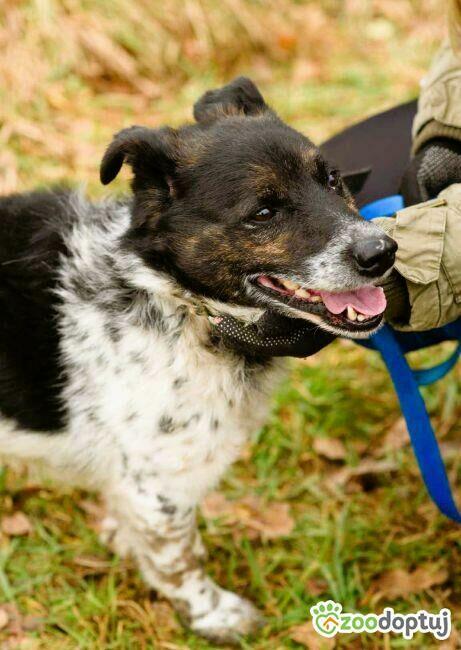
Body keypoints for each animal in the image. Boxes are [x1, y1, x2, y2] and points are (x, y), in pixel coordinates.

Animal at [0, 78, 396, 640]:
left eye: (333, 178)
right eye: (263, 212)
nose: (382, 251)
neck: (178, 303)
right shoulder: (158, 484)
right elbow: (180, 559)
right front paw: (213, 614)